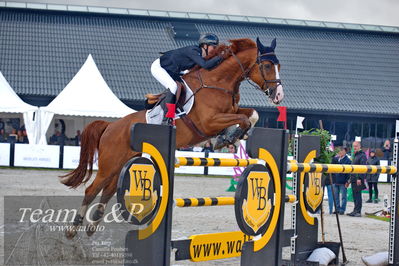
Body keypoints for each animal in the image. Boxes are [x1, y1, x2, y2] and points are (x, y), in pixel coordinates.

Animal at [63, 36, 284, 238]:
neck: (218, 82)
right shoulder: (209, 121)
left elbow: (251, 115)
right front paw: (228, 137)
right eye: (266, 65)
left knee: (107, 191)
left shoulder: (231, 112)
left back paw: (92, 226)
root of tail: (110, 126)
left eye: (278, 65)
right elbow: (243, 118)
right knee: (92, 189)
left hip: (122, 163)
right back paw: (73, 229)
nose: (279, 95)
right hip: (110, 163)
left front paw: (232, 136)